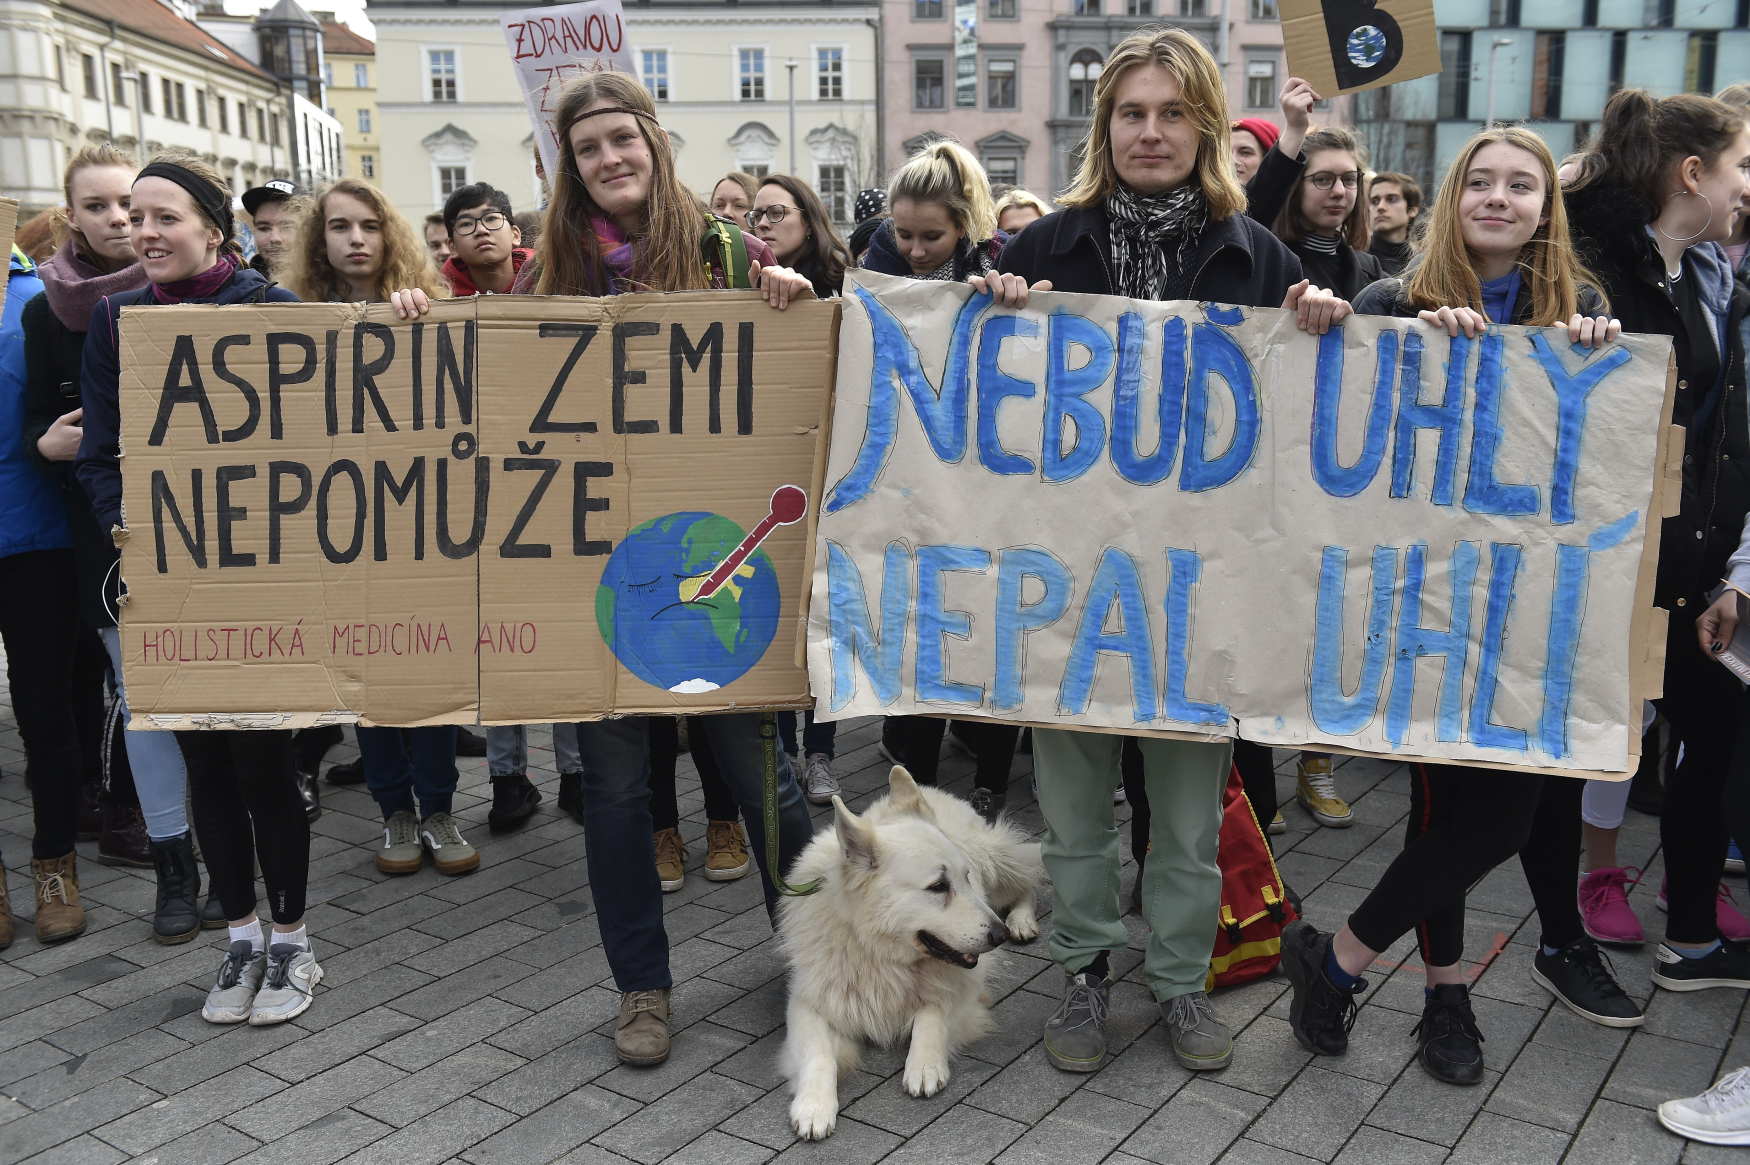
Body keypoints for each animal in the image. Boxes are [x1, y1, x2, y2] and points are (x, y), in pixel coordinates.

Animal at [777, 766, 1036, 1140]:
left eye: (965, 878)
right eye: (938, 887)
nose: (998, 936)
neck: (879, 953)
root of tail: (931, 789)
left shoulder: (966, 990)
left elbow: (933, 1011)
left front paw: (925, 1063)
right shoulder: (808, 1003)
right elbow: (819, 1053)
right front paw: (813, 1105)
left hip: (995, 866)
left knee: (1030, 878)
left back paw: (1022, 919)